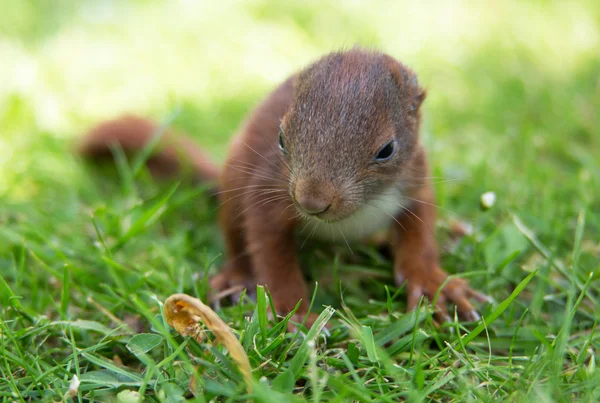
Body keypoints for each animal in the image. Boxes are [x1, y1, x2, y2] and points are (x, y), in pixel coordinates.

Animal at [78, 48, 488, 326]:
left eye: (387, 150)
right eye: (280, 138)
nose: (312, 202)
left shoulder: (415, 180)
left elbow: (420, 231)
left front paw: (434, 283)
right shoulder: (269, 190)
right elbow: (272, 253)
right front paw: (296, 315)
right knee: (235, 235)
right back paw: (236, 276)